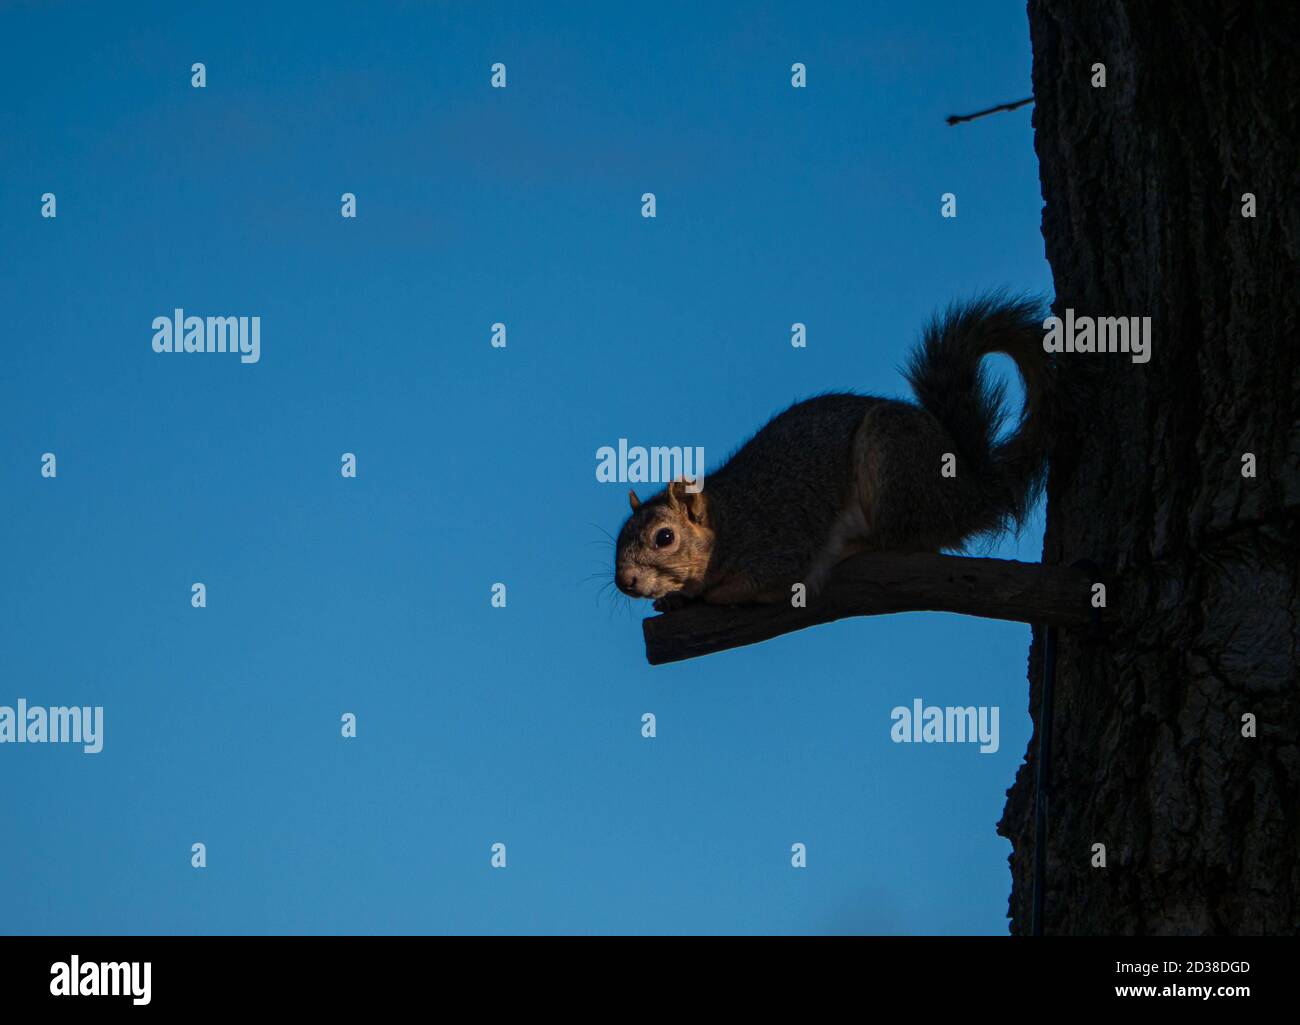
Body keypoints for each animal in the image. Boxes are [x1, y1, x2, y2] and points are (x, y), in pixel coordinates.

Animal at [614, 294, 1057, 611]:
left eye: (665, 537)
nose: (624, 582)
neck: (729, 520)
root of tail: (970, 493)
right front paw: (676, 596)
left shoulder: (779, 544)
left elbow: (767, 583)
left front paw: (706, 594)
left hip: (893, 458)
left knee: (910, 538)